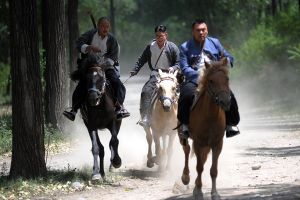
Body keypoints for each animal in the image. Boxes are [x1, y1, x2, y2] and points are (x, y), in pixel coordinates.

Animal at [179, 57, 231, 199]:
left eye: (227, 79)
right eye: (211, 81)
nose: (225, 101)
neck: (210, 117)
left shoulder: (217, 144)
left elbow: (213, 170)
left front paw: (215, 193)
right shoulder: (198, 143)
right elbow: (199, 167)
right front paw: (199, 192)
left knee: (202, 158)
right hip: (183, 136)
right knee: (186, 150)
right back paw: (186, 178)